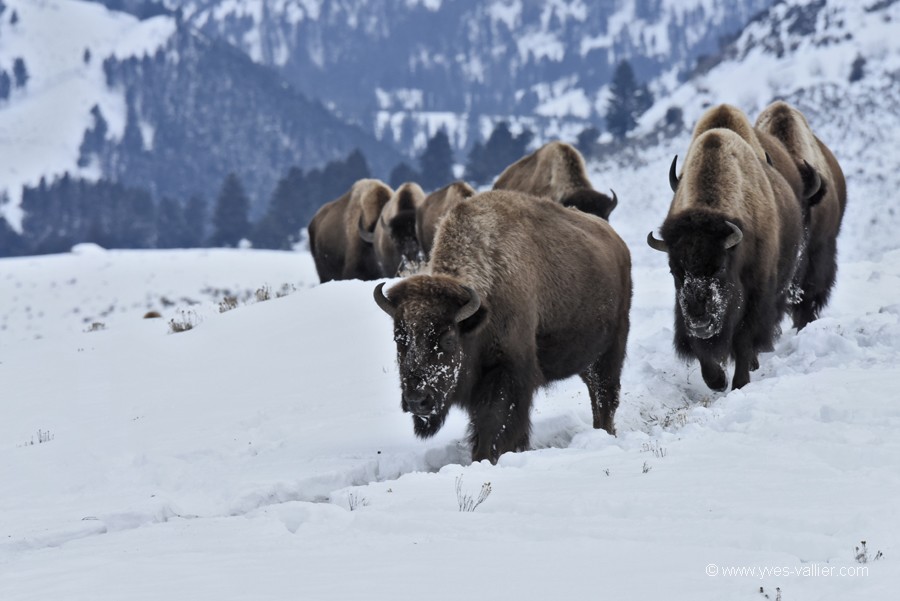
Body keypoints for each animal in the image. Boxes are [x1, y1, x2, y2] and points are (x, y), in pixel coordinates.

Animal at [372, 190, 632, 462]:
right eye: (399, 339)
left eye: (449, 339)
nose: (416, 400)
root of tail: (617, 242)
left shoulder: (508, 373)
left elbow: (494, 422)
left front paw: (486, 457)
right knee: (595, 391)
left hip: (611, 348)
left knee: (605, 394)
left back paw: (605, 433)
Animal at [648, 124, 800, 392]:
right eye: (674, 271)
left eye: (719, 268)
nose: (699, 320)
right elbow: (701, 350)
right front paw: (717, 381)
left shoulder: (755, 297)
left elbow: (742, 340)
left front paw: (739, 384)